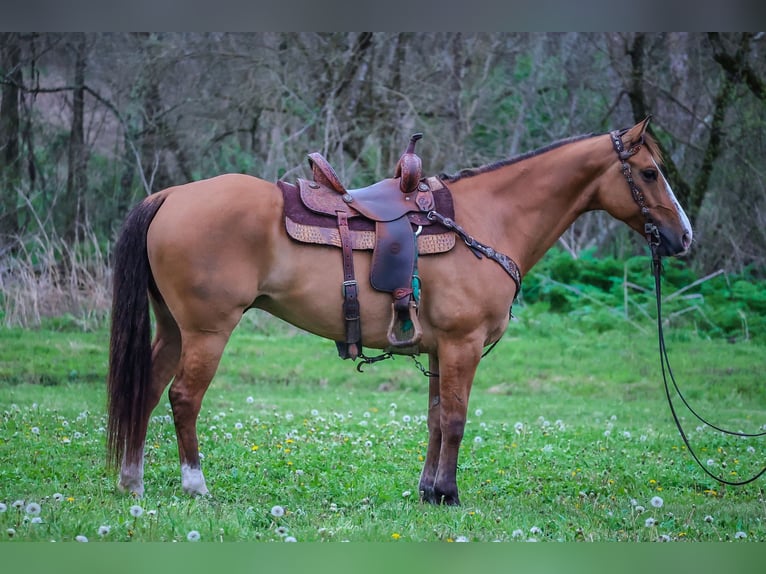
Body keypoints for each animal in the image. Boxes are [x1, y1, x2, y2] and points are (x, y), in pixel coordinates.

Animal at [106, 118, 696, 508]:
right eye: (649, 173)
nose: (684, 238)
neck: (486, 219)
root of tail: (169, 196)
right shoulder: (462, 345)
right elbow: (456, 420)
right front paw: (449, 494)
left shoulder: (439, 350)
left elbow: (435, 420)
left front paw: (429, 490)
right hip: (207, 330)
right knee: (183, 398)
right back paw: (194, 485)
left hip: (173, 329)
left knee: (148, 389)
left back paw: (133, 481)